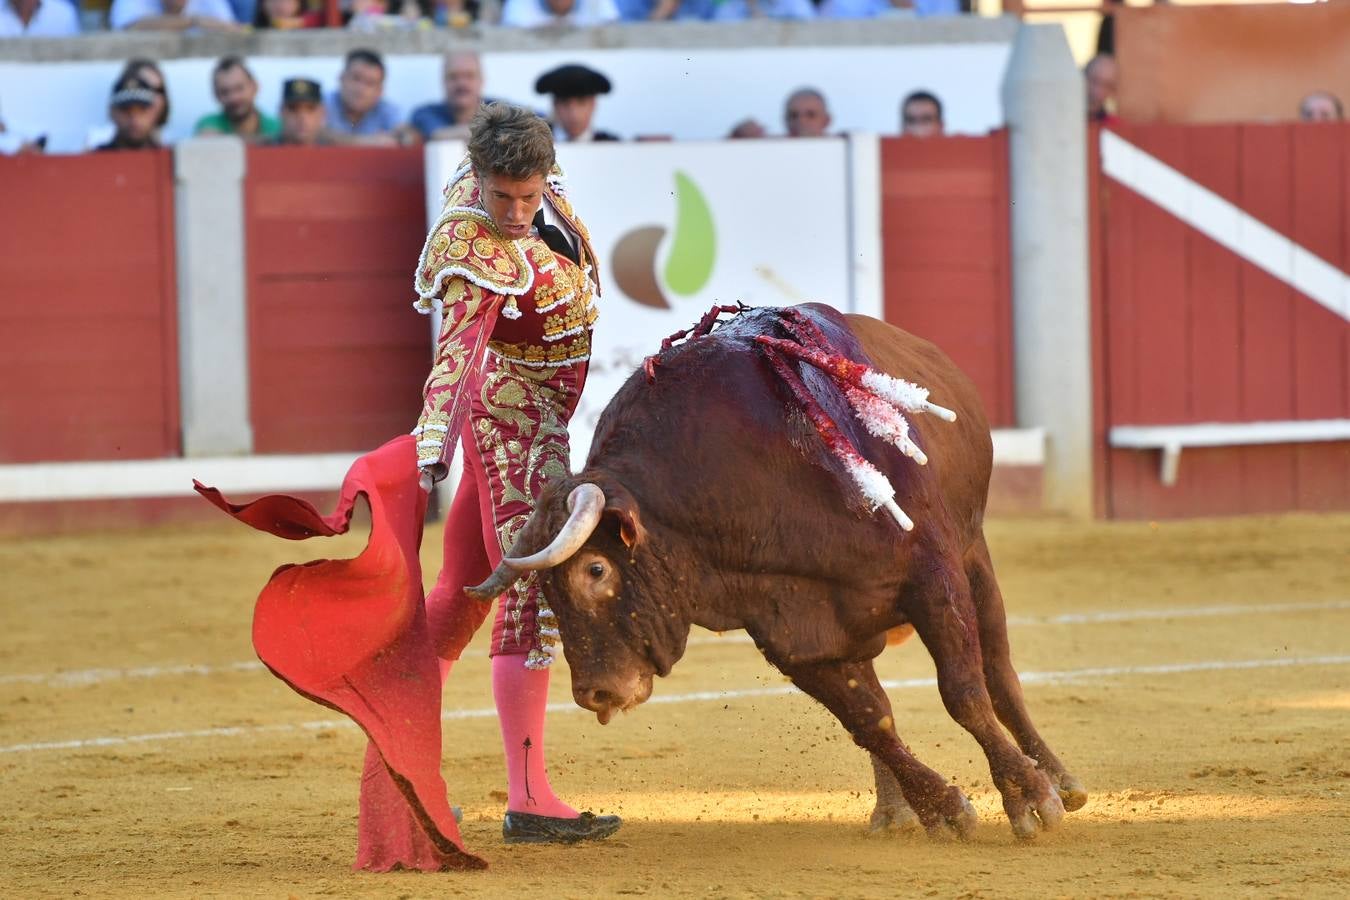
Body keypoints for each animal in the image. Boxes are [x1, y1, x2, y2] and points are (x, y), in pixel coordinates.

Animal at [464, 306, 1085, 841]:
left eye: (596, 569)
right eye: (547, 590)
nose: (593, 692)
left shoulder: (933, 577)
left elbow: (964, 692)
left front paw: (1029, 799)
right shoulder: (794, 634)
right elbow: (871, 722)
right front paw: (945, 808)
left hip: (974, 556)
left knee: (999, 673)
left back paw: (1060, 782)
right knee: (882, 702)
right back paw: (894, 811)